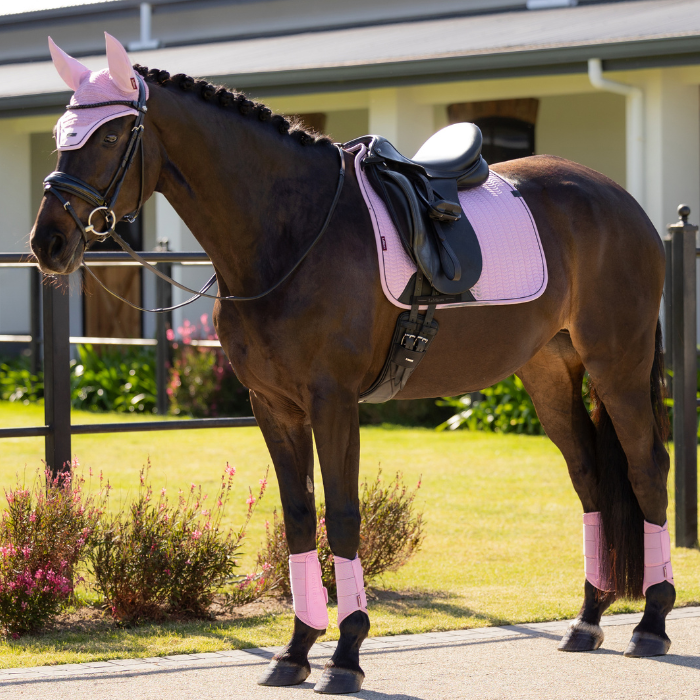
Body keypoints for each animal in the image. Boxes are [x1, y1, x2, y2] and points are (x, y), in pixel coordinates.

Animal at [30, 35, 673, 694]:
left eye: (111, 135)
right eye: (60, 134)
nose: (47, 243)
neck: (290, 233)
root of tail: (621, 201)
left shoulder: (332, 401)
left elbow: (341, 516)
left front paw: (345, 654)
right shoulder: (274, 406)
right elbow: (297, 517)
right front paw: (295, 651)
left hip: (618, 365)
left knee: (647, 469)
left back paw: (651, 622)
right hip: (548, 372)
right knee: (590, 476)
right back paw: (588, 618)